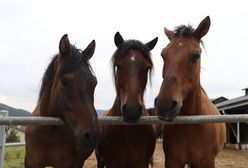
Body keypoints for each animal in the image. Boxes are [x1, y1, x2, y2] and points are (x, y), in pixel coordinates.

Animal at [156, 16, 226, 168]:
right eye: (163, 55)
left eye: (196, 56)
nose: (165, 105)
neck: (191, 126)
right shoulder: (173, 161)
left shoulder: (206, 162)